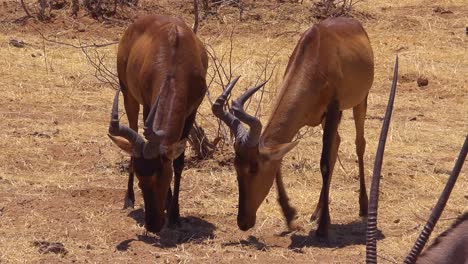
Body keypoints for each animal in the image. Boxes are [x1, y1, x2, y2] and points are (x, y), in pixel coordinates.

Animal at [109, 15, 207, 232]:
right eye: (140, 178)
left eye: (163, 175)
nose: (153, 225)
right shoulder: (148, 105)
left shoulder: (192, 112)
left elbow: (179, 162)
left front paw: (175, 215)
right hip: (127, 93)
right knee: (133, 130)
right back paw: (128, 199)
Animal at [214, 16, 374, 236]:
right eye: (236, 165)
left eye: (254, 168)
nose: (243, 222)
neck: (316, 53)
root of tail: (355, 24)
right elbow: (280, 161)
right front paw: (290, 217)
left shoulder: (334, 108)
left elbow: (324, 163)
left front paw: (323, 229)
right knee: (336, 143)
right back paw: (316, 212)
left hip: (360, 100)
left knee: (359, 143)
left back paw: (363, 207)